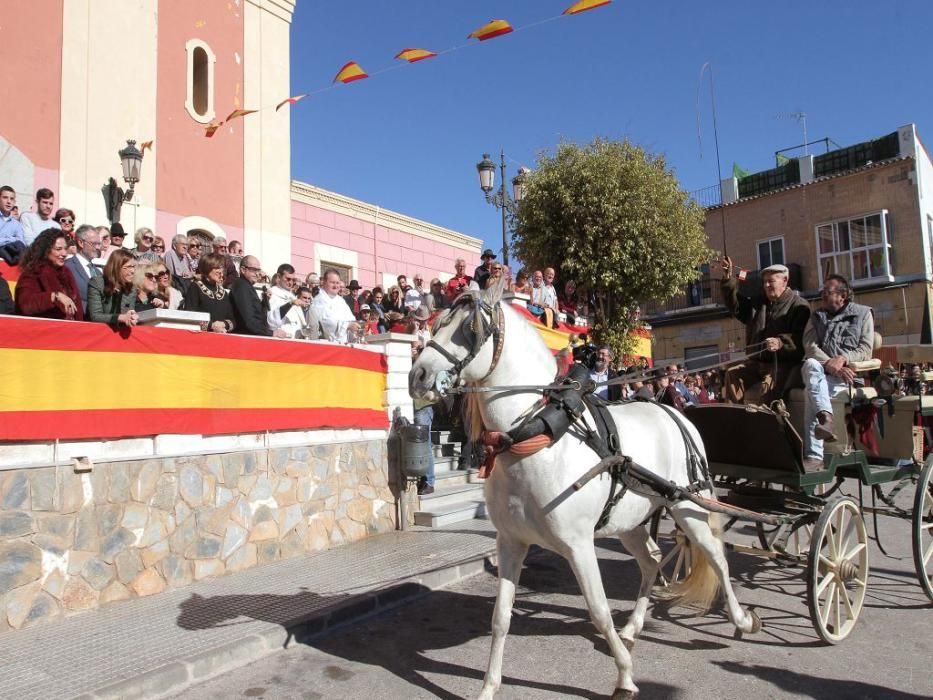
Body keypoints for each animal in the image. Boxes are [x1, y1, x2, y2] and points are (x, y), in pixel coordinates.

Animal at [408, 276, 756, 696]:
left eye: (469, 327)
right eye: (437, 322)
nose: (417, 377)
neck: (536, 438)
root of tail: (674, 412)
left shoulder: (578, 544)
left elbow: (599, 610)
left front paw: (625, 676)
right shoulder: (510, 542)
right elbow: (500, 617)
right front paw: (489, 687)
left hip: (689, 506)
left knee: (717, 556)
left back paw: (740, 619)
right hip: (630, 520)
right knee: (653, 559)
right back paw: (633, 626)